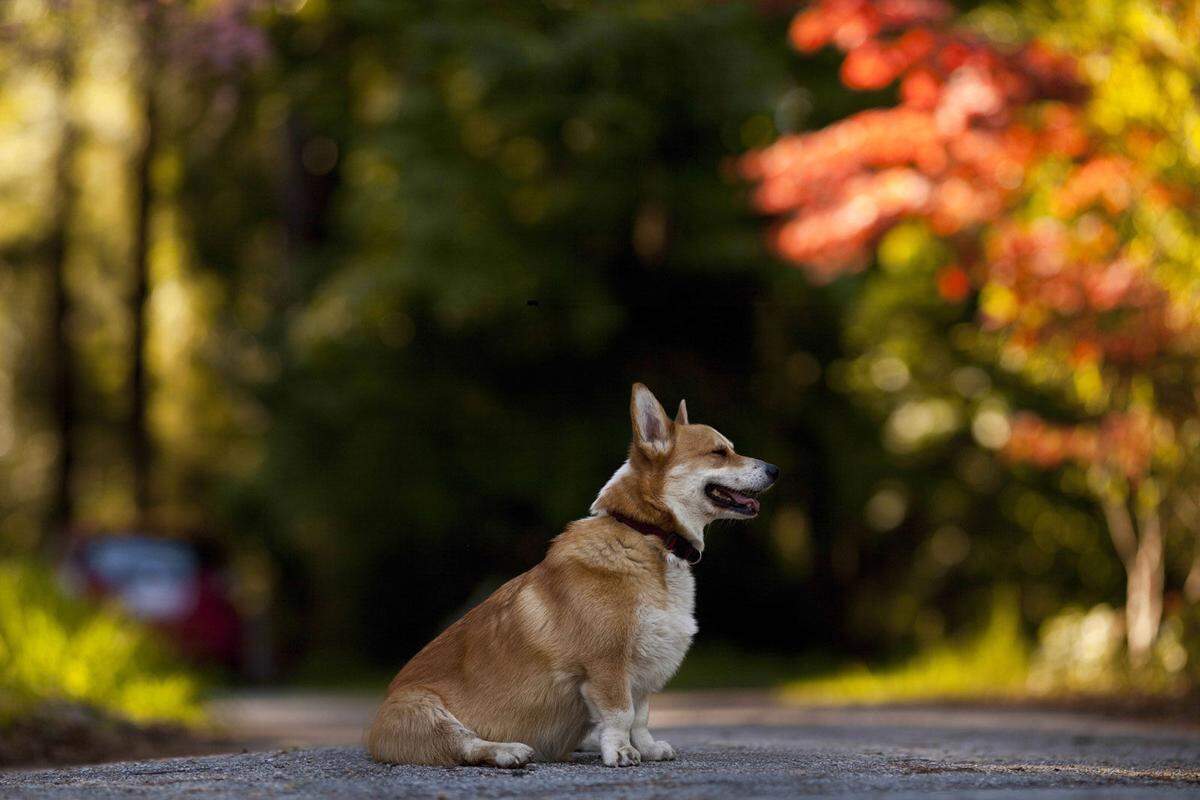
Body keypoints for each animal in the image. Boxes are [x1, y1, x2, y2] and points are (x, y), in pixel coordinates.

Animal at [364, 383, 777, 767]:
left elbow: (641, 716)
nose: (775, 470)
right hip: (427, 712)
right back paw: (508, 751)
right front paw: (621, 752)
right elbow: (621, 714)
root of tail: (373, 733)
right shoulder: (607, 665)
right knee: (466, 746)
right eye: (719, 452)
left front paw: (646, 748)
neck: (647, 535)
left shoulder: (643, 672)